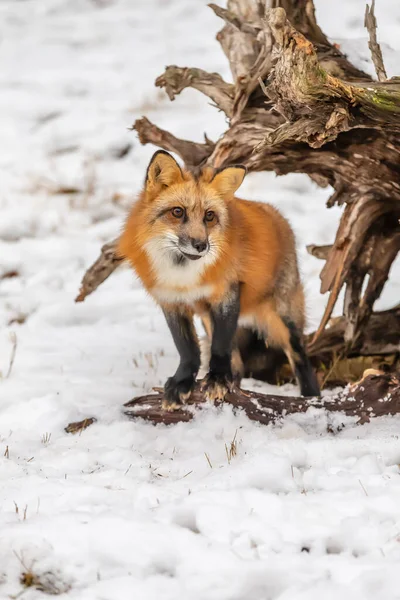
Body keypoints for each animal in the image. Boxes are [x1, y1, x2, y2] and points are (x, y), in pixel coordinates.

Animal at [116, 152, 318, 410]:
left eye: (209, 216)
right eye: (177, 212)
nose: (201, 245)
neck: (183, 276)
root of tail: (279, 217)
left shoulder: (226, 296)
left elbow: (219, 348)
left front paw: (218, 379)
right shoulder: (171, 302)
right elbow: (188, 349)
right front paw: (182, 383)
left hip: (281, 319)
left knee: (300, 356)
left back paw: (311, 398)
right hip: (207, 318)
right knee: (239, 365)